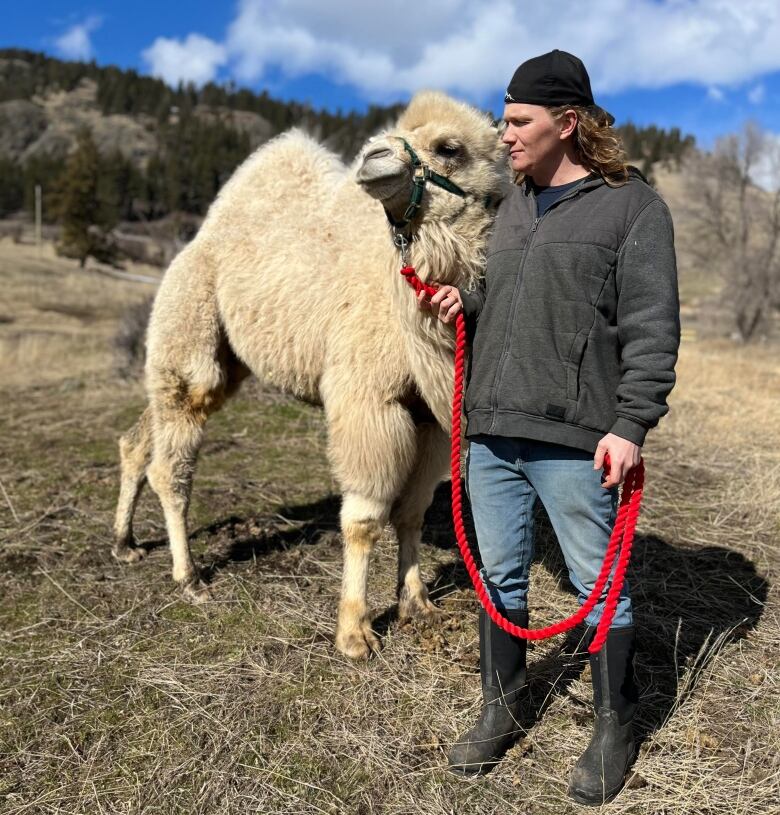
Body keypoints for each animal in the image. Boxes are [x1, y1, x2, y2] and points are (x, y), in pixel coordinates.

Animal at [114, 92, 506, 660]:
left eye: (449, 148)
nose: (374, 158)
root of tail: (197, 241)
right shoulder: (369, 399)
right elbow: (364, 519)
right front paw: (354, 633)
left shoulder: (431, 415)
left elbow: (411, 511)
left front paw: (416, 605)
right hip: (190, 329)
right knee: (171, 462)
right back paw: (189, 577)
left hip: (211, 361)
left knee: (138, 440)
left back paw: (124, 545)